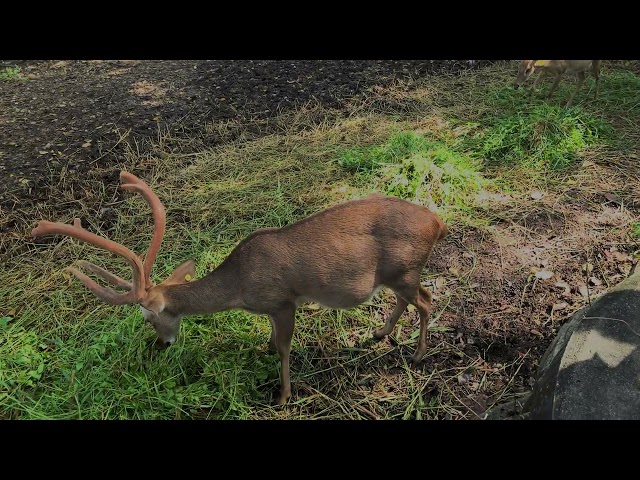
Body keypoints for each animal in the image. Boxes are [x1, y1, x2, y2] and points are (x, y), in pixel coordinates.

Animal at [31, 171, 450, 404]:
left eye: (148, 317)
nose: (162, 344)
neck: (241, 289)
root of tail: (438, 222)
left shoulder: (283, 301)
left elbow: (284, 348)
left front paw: (283, 396)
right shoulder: (270, 309)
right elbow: (271, 340)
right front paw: (264, 351)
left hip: (404, 269)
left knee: (427, 300)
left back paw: (418, 354)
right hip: (394, 275)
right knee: (408, 301)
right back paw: (380, 333)